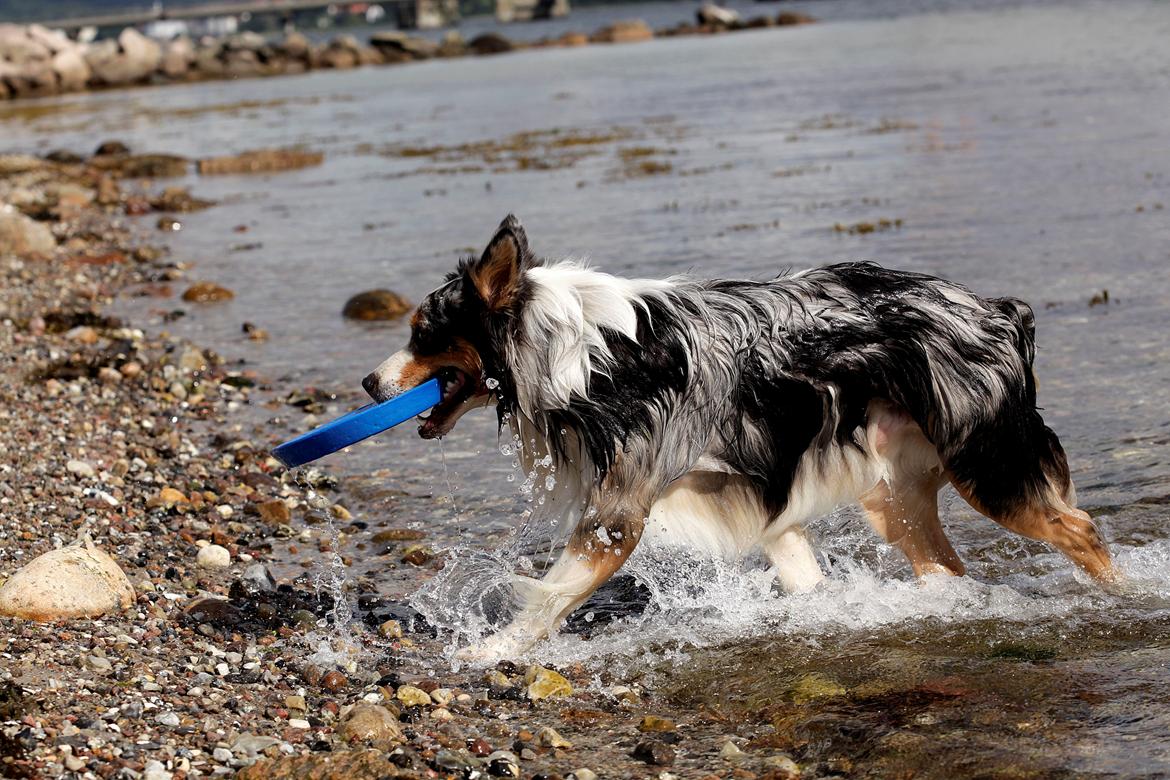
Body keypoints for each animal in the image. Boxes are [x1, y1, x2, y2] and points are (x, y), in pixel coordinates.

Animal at [360, 214, 1109, 659]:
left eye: (423, 333)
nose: (368, 383)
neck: (575, 352)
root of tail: (998, 311)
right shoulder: (760, 493)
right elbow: (803, 575)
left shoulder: (618, 512)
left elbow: (550, 593)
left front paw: (487, 652)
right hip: (894, 493)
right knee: (947, 568)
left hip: (992, 465)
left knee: (1083, 532)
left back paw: (1121, 596)